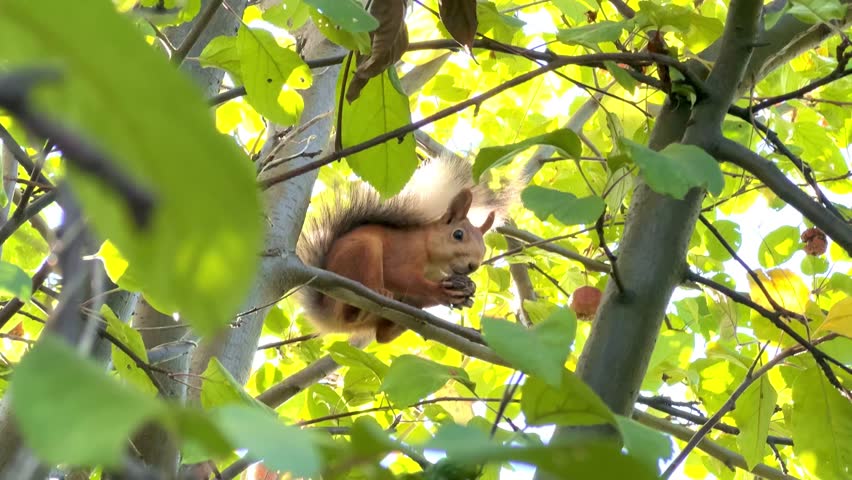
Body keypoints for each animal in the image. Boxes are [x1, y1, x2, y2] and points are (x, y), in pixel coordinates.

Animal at [296, 154, 517, 344]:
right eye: (458, 234)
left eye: (484, 247)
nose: (473, 265)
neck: (430, 257)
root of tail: (325, 311)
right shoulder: (404, 252)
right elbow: (401, 276)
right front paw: (440, 292)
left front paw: (465, 290)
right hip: (363, 252)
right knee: (353, 312)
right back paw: (376, 295)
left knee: (382, 336)